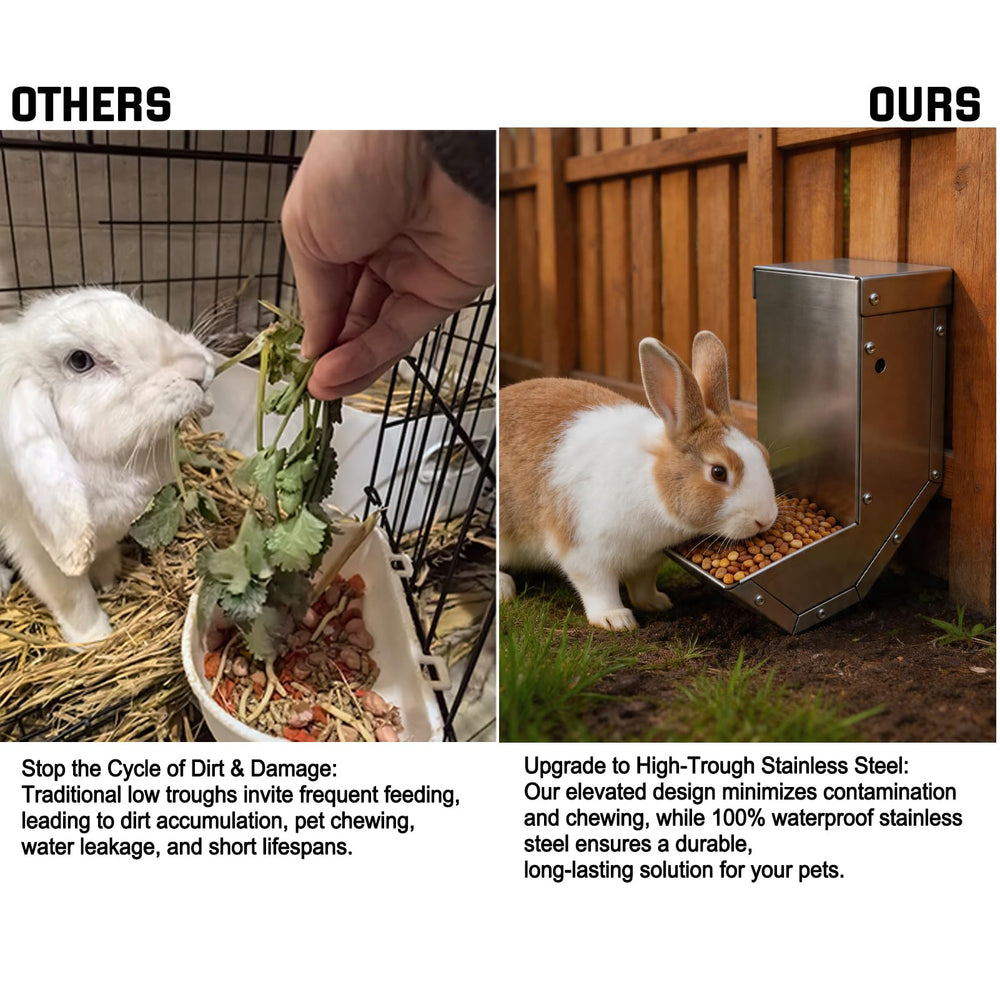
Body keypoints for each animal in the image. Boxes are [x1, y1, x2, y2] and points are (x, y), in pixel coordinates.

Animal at [0, 288, 215, 644]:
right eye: (80, 361)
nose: (199, 368)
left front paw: (110, 575)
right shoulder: (35, 551)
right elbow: (72, 596)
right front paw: (94, 636)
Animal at [499, 330, 779, 631]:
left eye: (763, 453)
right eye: (718, 472)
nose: (765, 520)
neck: (653, 486)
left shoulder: (647, 561)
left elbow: (642, 584)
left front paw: (657, 603)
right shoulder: (585, 553)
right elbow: (598, 588)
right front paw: (615, 620)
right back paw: (504, 589)